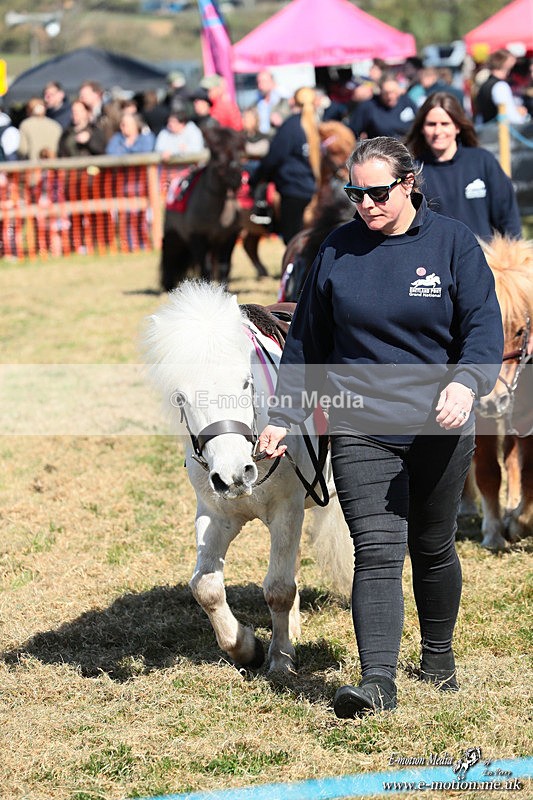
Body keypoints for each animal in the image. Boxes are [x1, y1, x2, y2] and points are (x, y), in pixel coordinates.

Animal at [144, 281, 352, 674]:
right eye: (181, 397)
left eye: (245, 382)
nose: (234, 475)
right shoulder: (216, 514)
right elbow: (206, 587)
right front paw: (247, 649)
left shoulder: (286, 510)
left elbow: (278, 589)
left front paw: (280, 661)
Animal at [159, 127, 245, 292]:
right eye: (216, 151)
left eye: (239, 149)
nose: (235, 177)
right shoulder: (198, 238)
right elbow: (205, 268)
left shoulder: (229, 237)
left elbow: (224, 267)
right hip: (173, 235)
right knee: (169, 257)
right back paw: (167, 285)